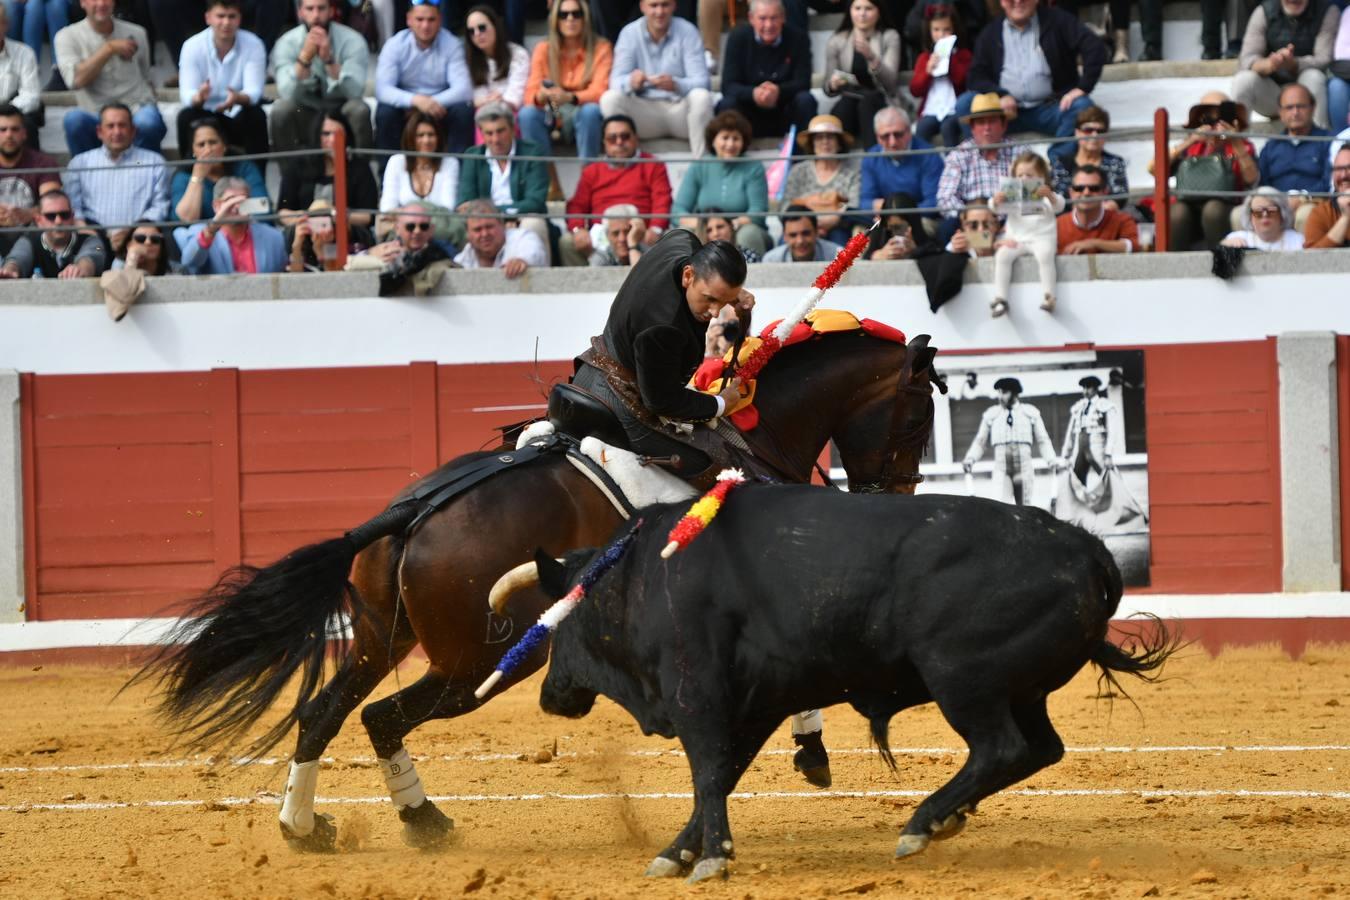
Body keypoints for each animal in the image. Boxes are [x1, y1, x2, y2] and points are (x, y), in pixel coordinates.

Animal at [131, 329, 945, 852]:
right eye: (917, 420)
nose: (895, 492)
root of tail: (410, 511)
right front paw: (811, 750)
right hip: (481, 664)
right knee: (382, 716)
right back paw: (418, 822)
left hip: (381, 638)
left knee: (326, 712)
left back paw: (311, 828)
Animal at [507, 483, 1182, 885]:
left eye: (558, 622)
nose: (549, 695)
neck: (638, 577)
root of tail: (1085, 548)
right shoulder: (756, 703)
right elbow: (721, 774)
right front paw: (679, 853)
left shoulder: (697, 693)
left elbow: (707, 772)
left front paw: (712, 859)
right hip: (1022, 690)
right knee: (1040, 748)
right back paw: (943, 819)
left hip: (964, 679)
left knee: (1000, 748)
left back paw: (920, 825)